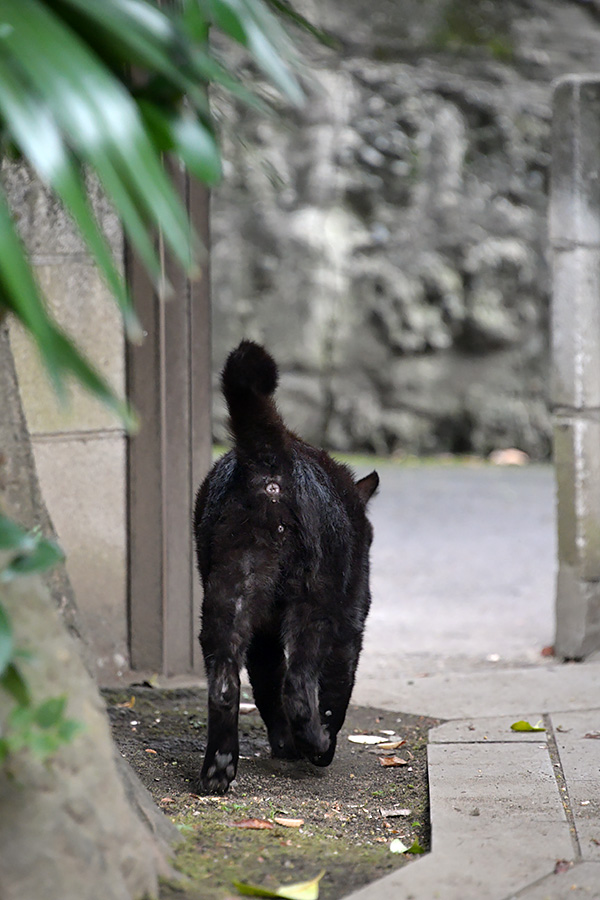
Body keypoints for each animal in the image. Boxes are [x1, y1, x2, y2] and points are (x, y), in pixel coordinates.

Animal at [195, 342, 378, 792]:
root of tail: (268, 463)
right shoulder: (350, 623)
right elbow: (334, 690)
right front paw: (314, 746)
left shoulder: (262, 635)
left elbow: (264, 685)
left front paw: (283, 745)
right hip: (315, 602)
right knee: (298, 687)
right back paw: (315, 742)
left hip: (230, 591)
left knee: (226, 681)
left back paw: (219, 768)